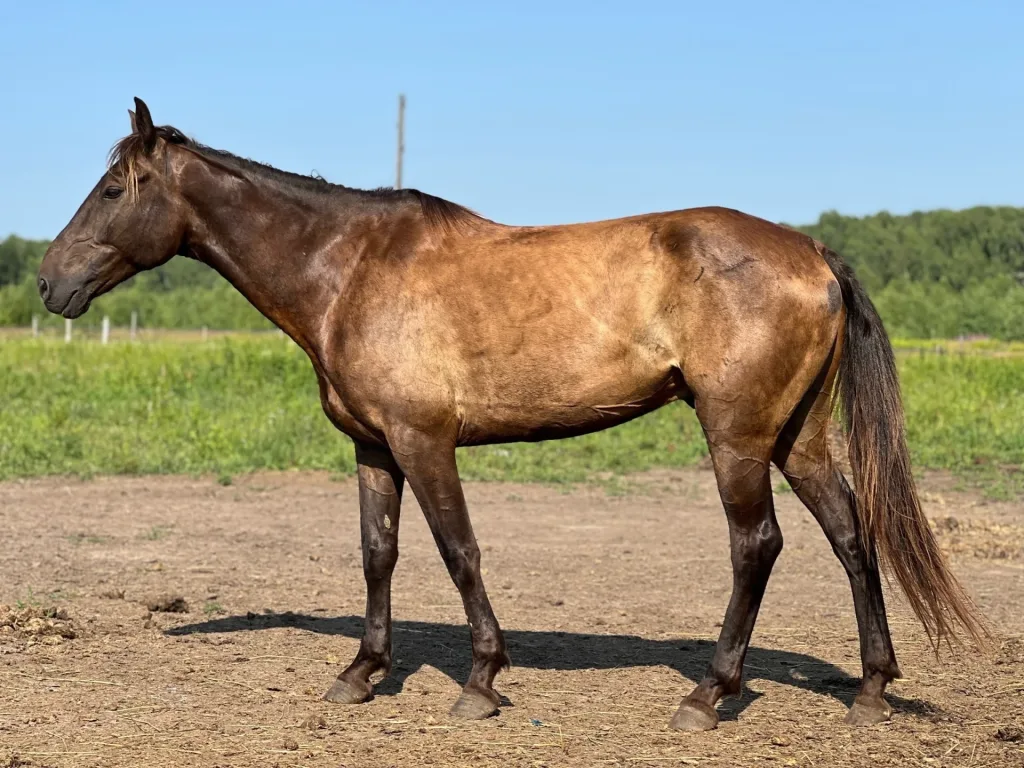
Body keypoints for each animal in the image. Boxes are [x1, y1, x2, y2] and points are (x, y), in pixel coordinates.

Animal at [37, 98, 984, 730]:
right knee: (852, 536)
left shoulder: (425, 442)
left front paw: (481, 681)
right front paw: (362, 672)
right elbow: (378, 556)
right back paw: (871, 690)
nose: (49, 282)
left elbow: (459, 551)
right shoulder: (373, 448)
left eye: (114, 188)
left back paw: (708, 695)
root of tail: (812, 252)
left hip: (739, 437)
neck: (348, 269)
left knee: (758, 547)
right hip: (799, 437)